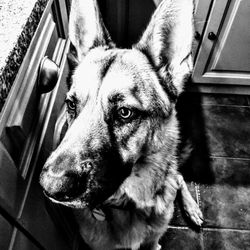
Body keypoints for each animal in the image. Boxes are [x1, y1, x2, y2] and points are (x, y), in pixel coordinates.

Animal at [39, 0, 203, 248]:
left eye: (125, 113)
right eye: (71, 104)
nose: (51, 188)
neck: (128, 206)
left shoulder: (153, 244)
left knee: (178, 176)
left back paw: (192, 208)